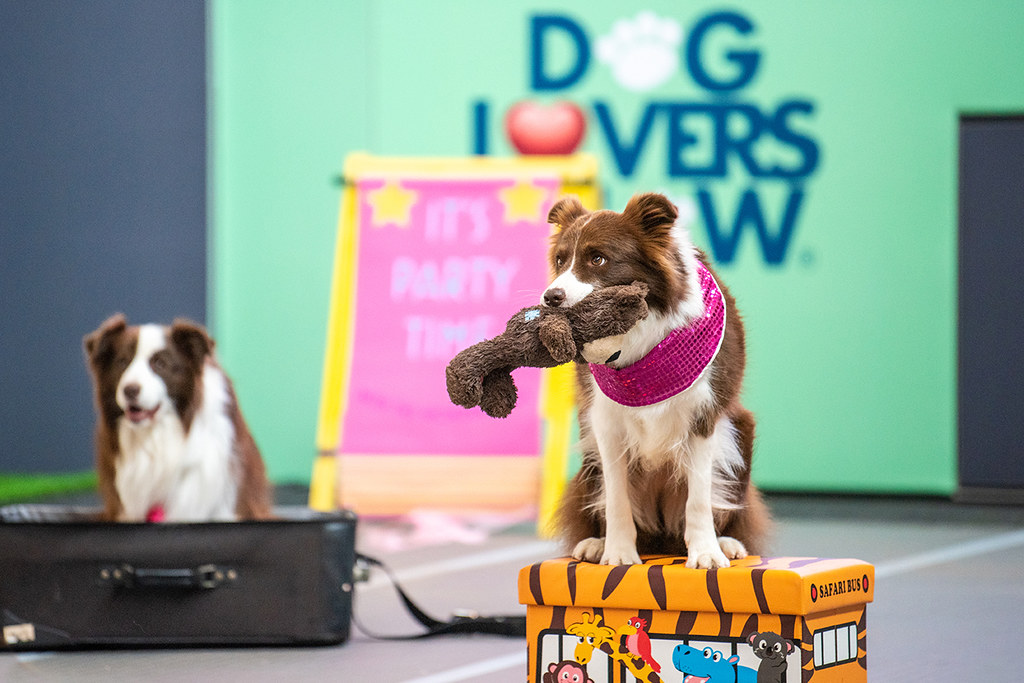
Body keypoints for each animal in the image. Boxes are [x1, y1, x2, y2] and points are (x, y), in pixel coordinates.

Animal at [544, 191, 770, 565]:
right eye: (561, 261)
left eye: (598, 258)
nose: (550, 298)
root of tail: (662, 538)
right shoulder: (603, 421)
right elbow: (616, 497)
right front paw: (618, 553)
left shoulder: (704, 416)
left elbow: (699, 498)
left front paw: (706, 553)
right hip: (588, 445)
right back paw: (596, 543)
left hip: (740, 430)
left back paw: (727, 542)